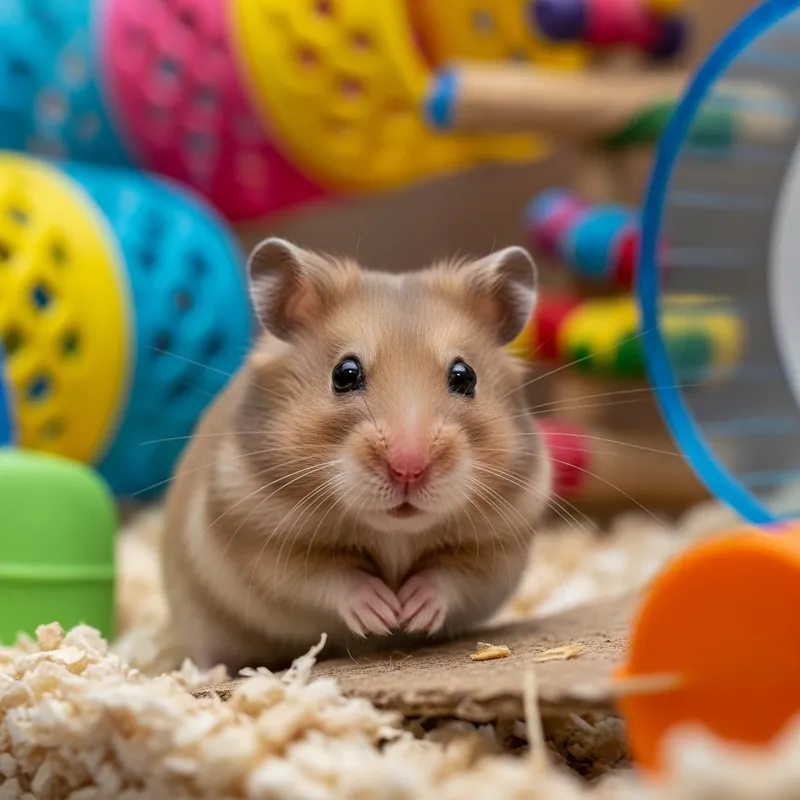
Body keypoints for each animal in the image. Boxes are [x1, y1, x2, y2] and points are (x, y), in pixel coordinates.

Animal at [160, 238, 552, 673]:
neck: (394, 533)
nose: (409, 468)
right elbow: (329, 578)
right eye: (344, 374)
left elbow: (450, 576)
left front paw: (410, 613)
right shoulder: (263, 545)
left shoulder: (498, 547)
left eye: (464, 376)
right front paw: (382, 614)